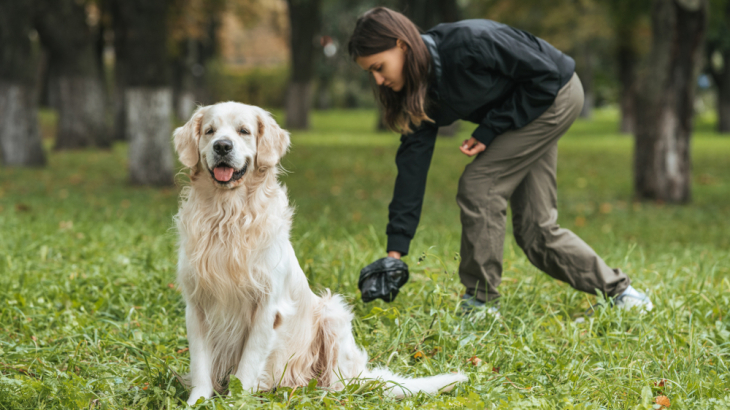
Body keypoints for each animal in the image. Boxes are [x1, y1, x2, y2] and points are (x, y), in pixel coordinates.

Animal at [173, 101, 464, 404]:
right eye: (210, 131)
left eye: (244, 131)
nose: (222, 146)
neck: (227, 216)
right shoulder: (196, 304)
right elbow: (200, 365)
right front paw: (197, 402)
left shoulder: (267, 307)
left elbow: (247, 366)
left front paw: (235, 401)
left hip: (332, 313)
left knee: (340, 383)